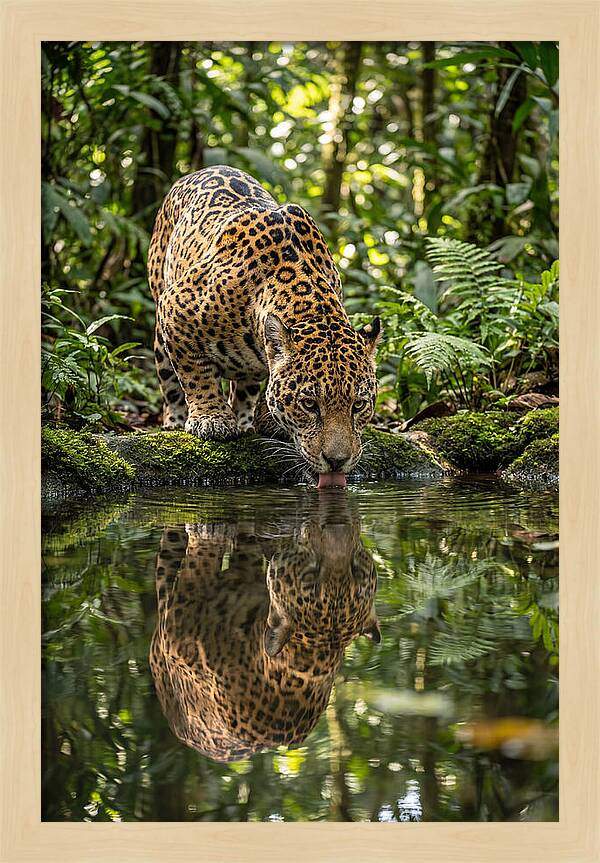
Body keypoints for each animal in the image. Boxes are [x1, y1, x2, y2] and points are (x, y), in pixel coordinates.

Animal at [147, 165, 382, 485]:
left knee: (244, 384)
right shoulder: (175, 307)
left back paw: (246, 419)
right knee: (169, 380)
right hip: (160, 315)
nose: (337, 462)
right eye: (309, 404)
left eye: (358, 405)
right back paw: (175, 420)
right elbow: (196, 374)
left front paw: (267, 419)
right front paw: (212, 419)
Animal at [149, 496, 380, 762]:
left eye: (356, 570)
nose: (337, 525)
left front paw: (209, 531)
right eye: (311, 575)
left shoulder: (178, 628)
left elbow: (203, 559)